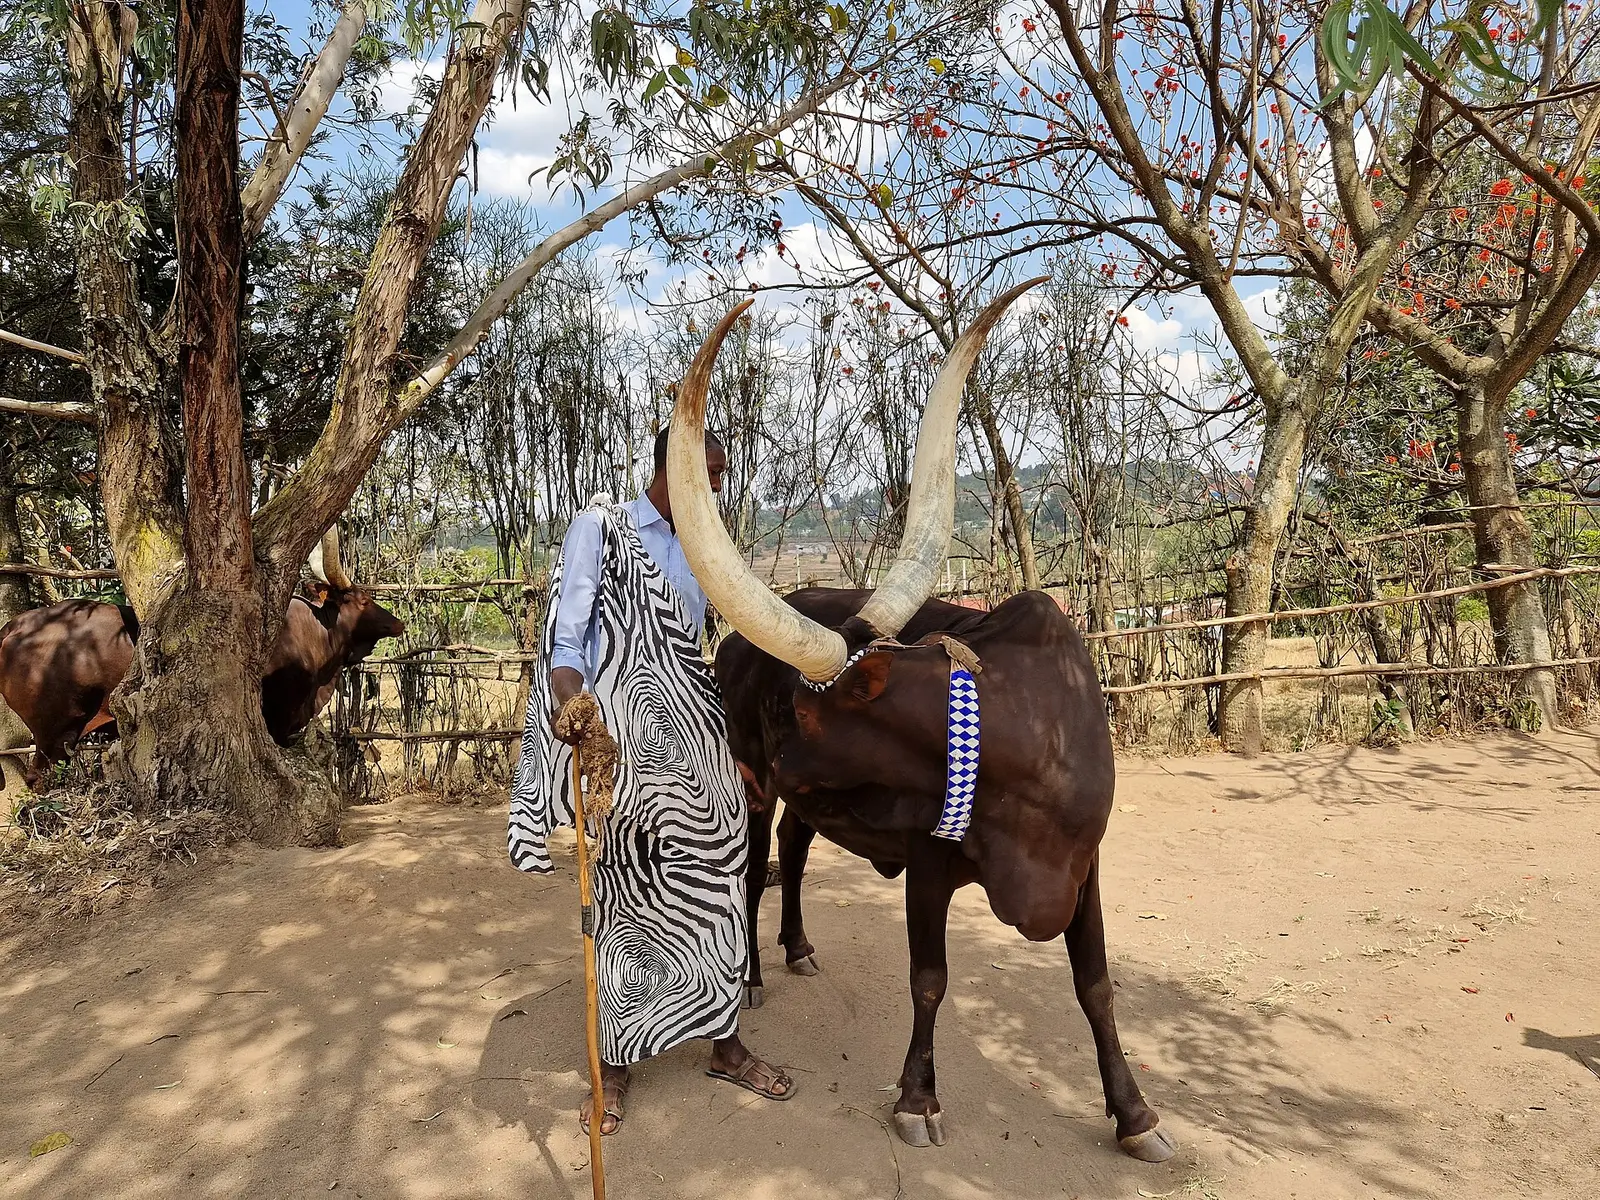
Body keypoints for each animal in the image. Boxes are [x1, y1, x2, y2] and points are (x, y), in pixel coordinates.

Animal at [0, 529, 404, 788]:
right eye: (363, 600)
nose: (398, 622)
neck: (313, 633)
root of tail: (15, 626)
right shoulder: (277, 718)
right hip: (54, 734)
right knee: (38, 779)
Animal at [664, 284, 1177, 1162]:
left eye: (788, 707)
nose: (750, 754)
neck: (1023, 742)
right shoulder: (929, 863)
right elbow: (930, 981)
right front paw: (917, 1100)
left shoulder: (1087, 868)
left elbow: (1096, 985)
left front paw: (1135, 1113)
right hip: (765, 808)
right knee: (755, 867)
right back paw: (754, 977)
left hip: (797, 802)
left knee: (793, 847)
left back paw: (798, 947)